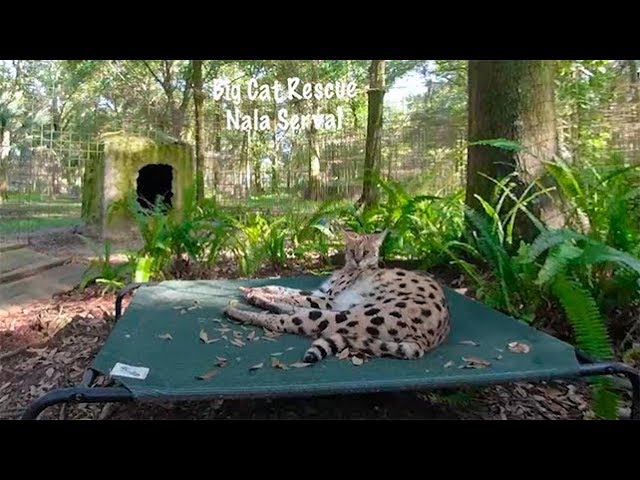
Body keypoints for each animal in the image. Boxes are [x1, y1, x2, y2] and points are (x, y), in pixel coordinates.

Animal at [224, 231, 450, 362]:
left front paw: (258, 293)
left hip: (349, 316)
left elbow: (292, 297)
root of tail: (429, 340)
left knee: (283, 321)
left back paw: (237, 311)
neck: (352, 269)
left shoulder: (329, 299)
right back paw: (256, 299)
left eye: (366, 252)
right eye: (351, 250)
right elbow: (286, 290)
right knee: (293, 311)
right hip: (346, 312)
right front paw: (259, 290)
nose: (358, 260)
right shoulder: (324, 294)